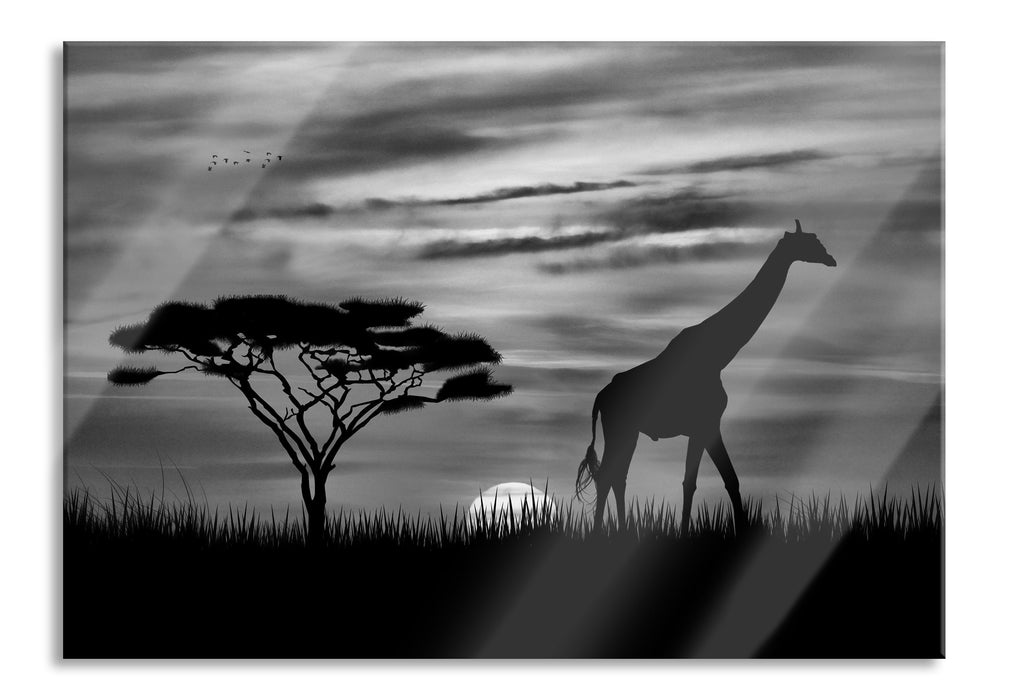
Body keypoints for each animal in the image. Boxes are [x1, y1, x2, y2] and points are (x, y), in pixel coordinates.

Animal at [576, 220, 836, 531]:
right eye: (811, 242)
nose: (831, 259)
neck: (719, 356)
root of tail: (600, 397)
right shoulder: (706, 424)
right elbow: (713, 481)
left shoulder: (704, 427)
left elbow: (712, 481)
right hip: (620, 429)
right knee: (608, 477)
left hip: (629, 432)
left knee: (618, 477)